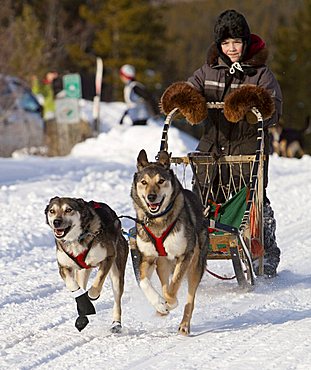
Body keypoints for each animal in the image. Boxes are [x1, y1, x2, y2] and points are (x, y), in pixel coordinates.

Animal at [44, 197, 129, 332]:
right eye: (52, 211)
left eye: (68, 210)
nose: (57, 222)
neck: (76, 239)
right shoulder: (64, 267)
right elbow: (73, 286)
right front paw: (84, 306)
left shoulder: (108, 258)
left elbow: (98, 282)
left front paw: (92, 295)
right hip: (82, 272)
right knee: (81, 285)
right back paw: (82, 317)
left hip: (117, 273)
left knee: (117, 299)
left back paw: (116, 324)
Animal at [131, 148, 210, 336]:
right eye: (144, 182)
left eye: (161, 181)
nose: (151, 197)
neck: (158, 220)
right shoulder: (148, 257)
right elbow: (145, 282)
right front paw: (159, 303)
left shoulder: (185, 254)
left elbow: (174, 287)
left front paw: (170, 303)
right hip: (163, 264)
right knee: (165, 284)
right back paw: (161, 309)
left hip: (196, 264)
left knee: (189, 297)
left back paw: (184, 324)